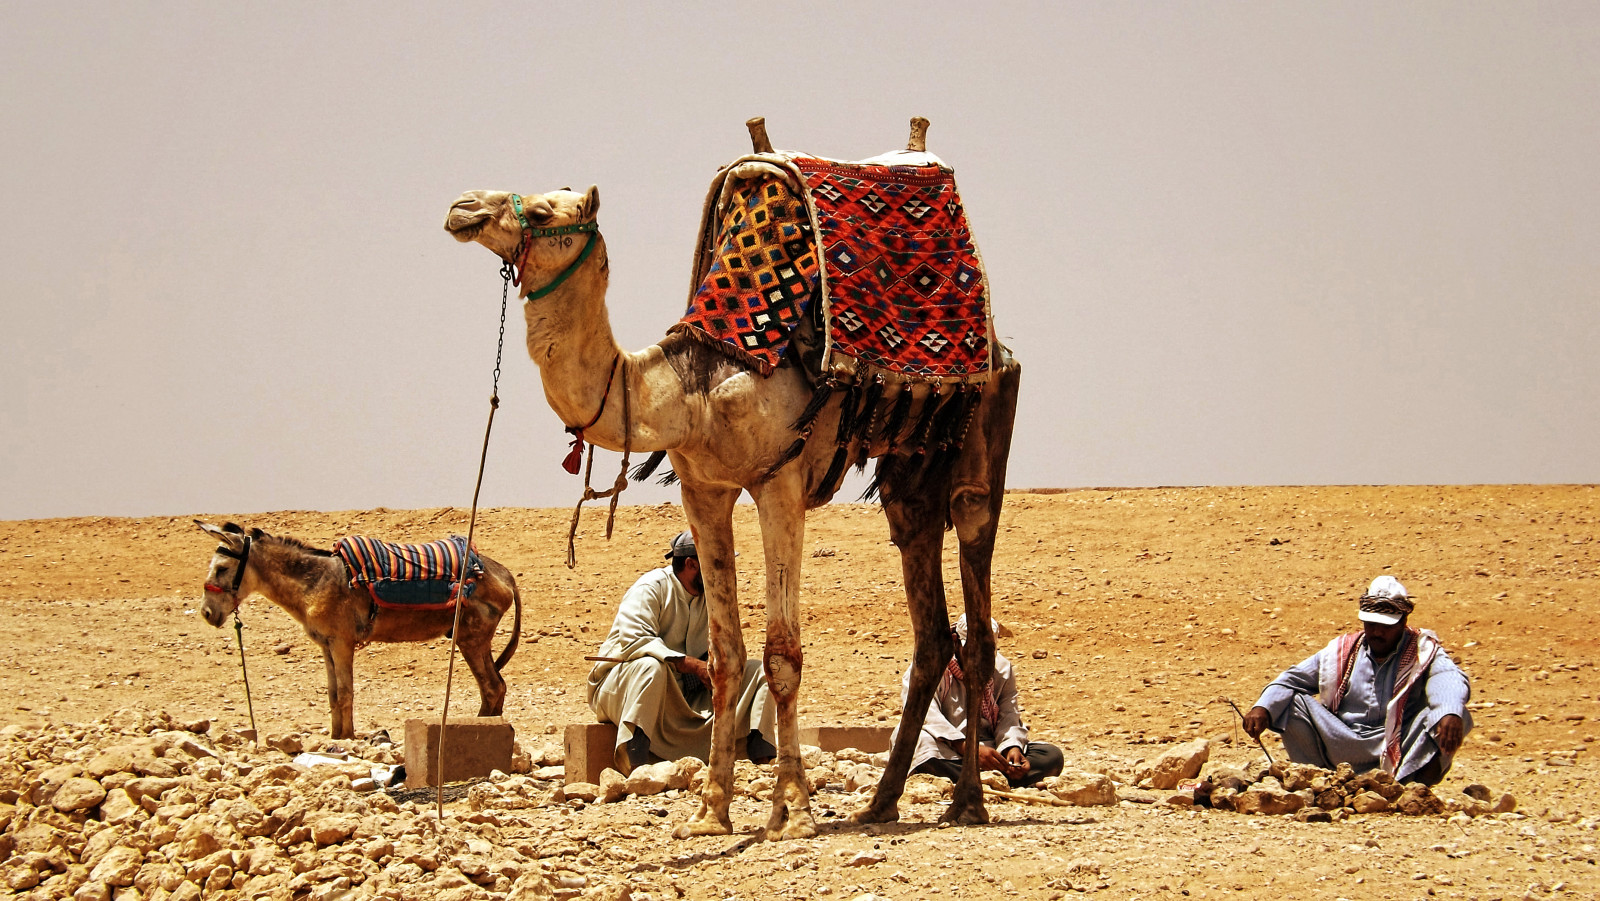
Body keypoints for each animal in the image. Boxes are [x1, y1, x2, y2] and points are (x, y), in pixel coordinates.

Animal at [195, 521, 522, 739]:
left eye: (222, 569)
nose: (207, 613)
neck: (313, 582)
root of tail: (503, 573)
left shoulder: (342, 642)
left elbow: (345, 693)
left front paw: (347, 739)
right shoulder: (326, 645)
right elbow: (332, 694)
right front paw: (335, 736)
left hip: (471, 638)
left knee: (493, 687)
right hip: (473, 639)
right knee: (495, 687)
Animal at [444, 120, 1020, 839]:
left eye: (547, 211)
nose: (462, 207)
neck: (693, 387)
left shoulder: (780, 483)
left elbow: (780, 653)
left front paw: (792, 809)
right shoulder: (704, 488)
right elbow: (722, 656)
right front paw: (710, 809)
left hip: (981, 435)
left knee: (975, 595)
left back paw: (966, 800)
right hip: (910, 473)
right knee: (930, 621)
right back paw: (882, 801)